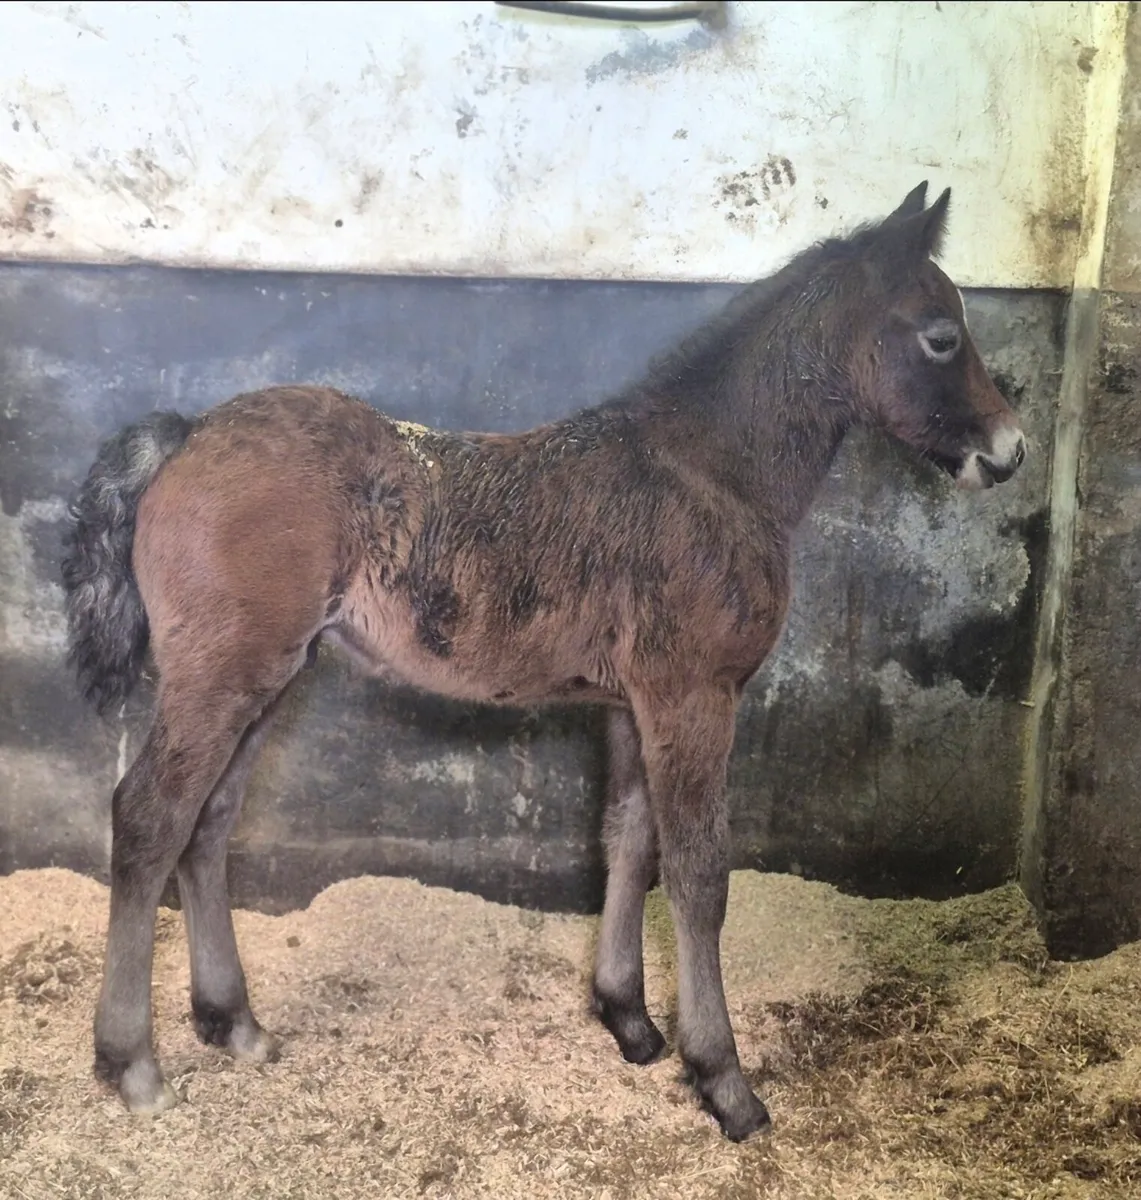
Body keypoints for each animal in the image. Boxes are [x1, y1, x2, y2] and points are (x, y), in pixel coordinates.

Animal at [61, 182, 1026, 1142]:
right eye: (940, 336)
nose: (1008, 452)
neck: (711, 474)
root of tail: (187, 434)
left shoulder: (632, 703)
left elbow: (627, 841)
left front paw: (628, 1019)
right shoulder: (694, 697)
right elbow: (699, 874)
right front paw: (723, 1081)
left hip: (266, 681)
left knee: (209, 822)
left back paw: (233, 1022)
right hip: (222, 677)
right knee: (148, 817)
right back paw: (132, 1061)